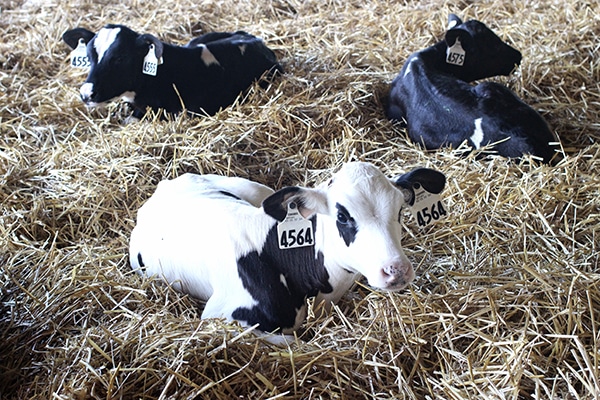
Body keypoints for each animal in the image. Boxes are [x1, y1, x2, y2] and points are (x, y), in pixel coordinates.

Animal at [127, 162, 446, 338]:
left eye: (400, 210)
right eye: (343, 216)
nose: (397, 270)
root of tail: (166, 186)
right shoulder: (222, 317)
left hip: (258, 191)